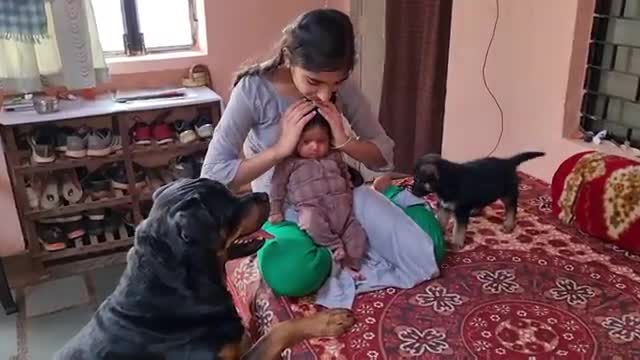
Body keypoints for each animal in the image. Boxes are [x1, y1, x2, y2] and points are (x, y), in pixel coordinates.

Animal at [416, 151, 544, 248]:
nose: (413, 191)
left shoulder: (461, 211)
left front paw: (456, 243)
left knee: (512, 208)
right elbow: (441, 220)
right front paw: (439, 231)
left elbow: (459, 229)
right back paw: (475, 211)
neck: (447, 181)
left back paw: (509, 225)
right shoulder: (444, 206)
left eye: (419, 180)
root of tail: (508, 162)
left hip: (507, 194)